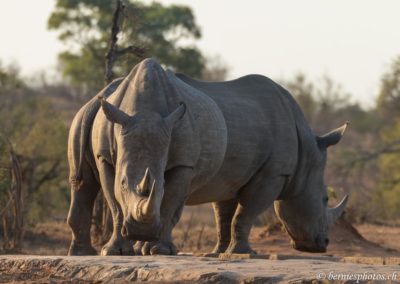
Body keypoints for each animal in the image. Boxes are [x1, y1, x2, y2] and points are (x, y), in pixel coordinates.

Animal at [67, 57, 348, 255]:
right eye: (325, 199)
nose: (322, 244)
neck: (307, 155)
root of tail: (103, 93)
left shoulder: (226, 175)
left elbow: (225, 213)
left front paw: (221, 253)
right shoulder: (274, 174)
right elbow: (246, 212)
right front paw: (244, 253)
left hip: (87, 115)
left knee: (83, 184)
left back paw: (87, 252)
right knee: (90, 185)